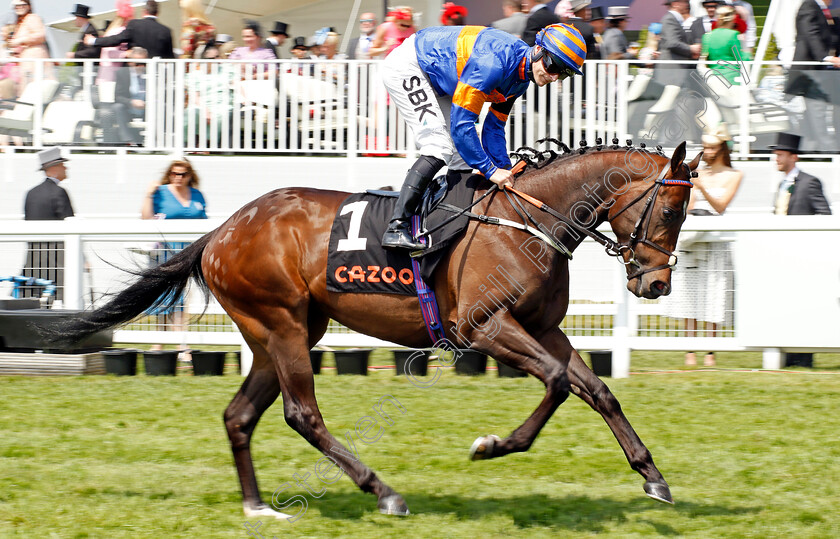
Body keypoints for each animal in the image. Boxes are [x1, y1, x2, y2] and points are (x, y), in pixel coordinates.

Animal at [46, 139, 704, 520]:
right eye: (672, 209)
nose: (655, 285)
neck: (526, 218)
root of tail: (220, 231)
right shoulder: (484, 326)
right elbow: (558, 386)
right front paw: (493, 444)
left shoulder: (545, 330)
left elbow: (598, 390)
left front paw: (653, 477)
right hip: (283, 324)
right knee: (300, 414)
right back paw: (382, 491)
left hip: (282, 332)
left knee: (240, 414)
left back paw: (257, 507)